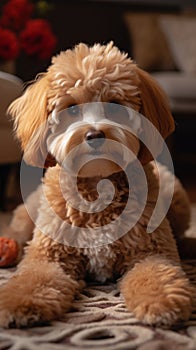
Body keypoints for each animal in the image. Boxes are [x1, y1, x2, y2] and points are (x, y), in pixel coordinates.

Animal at [0, 42, 193, 326]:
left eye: (115, 106)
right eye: (71, 109)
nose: (94, 135)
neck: (97, 187)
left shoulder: (150, 251)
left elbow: (155, 274)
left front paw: (163, 301)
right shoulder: (49, 257)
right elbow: (33, 278)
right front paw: (17, 303)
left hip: (178, 199)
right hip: (31, 211)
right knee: (17, 226)